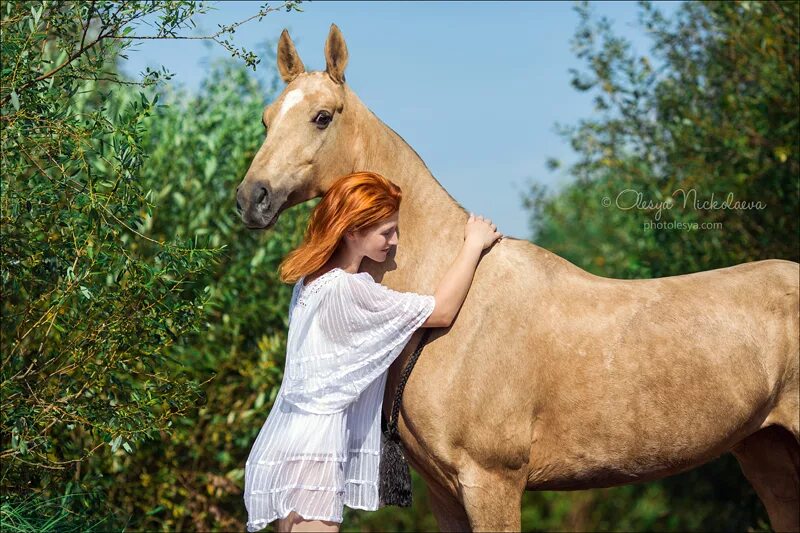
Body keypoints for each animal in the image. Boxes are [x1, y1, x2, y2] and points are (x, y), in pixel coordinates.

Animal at [236, 22, 800, 528]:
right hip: (767, 453)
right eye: (265, 119)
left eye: (321, 117)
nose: (251, 199)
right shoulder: (445, 494)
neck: (452, 304)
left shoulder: (491, 481)